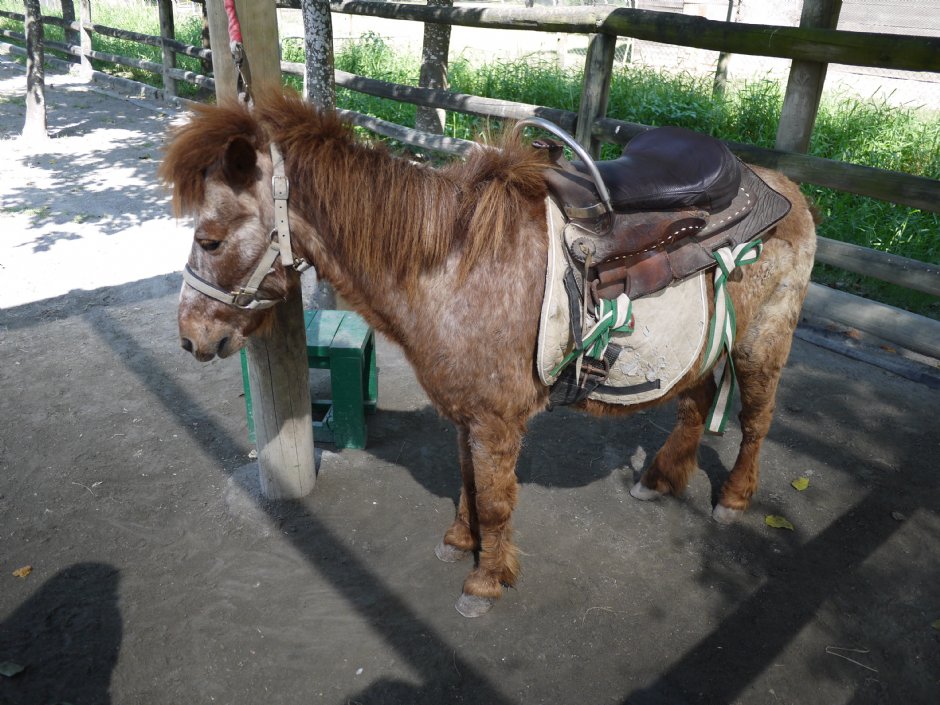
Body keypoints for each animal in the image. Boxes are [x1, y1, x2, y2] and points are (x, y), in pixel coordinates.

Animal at [159, 89, 817, 617]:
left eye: (208, 239)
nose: (190, 337)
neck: (451, 261)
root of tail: (783, 188)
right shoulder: (465, 413)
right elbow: (468, 483)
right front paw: (460, 542)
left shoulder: (496, 420)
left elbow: (497, 500)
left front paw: (487, 580)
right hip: (710, 343)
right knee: (695, 403)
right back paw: (661, 476)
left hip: (762, 341)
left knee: (756, 418)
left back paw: (733, 497)